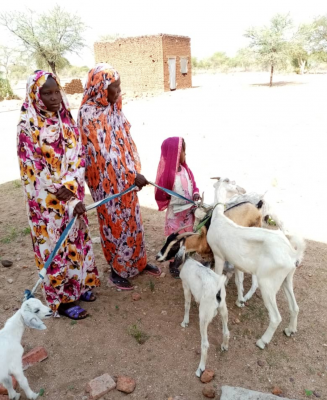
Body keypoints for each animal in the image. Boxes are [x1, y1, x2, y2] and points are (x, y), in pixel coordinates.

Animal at [173, 248, 229, 376]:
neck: (189, 260)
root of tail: (217, 290)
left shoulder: (186, 287)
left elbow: (187, 305)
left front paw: (185, 321)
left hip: (203, 318)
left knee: (205, 344)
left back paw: (200, 369)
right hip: (223, 310)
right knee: (226, 331)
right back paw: (224, 346)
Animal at [209, 180, 306, 348]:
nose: (242, 190)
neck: (219, 218)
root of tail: (292, 253)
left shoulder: (219, 255)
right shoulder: (237, 262)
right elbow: (239, 280)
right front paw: (240, 300)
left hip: (267, 284)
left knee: (276, 317)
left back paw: (262, 341)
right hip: (287, 278)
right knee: (295, 307)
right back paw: (290, 330)